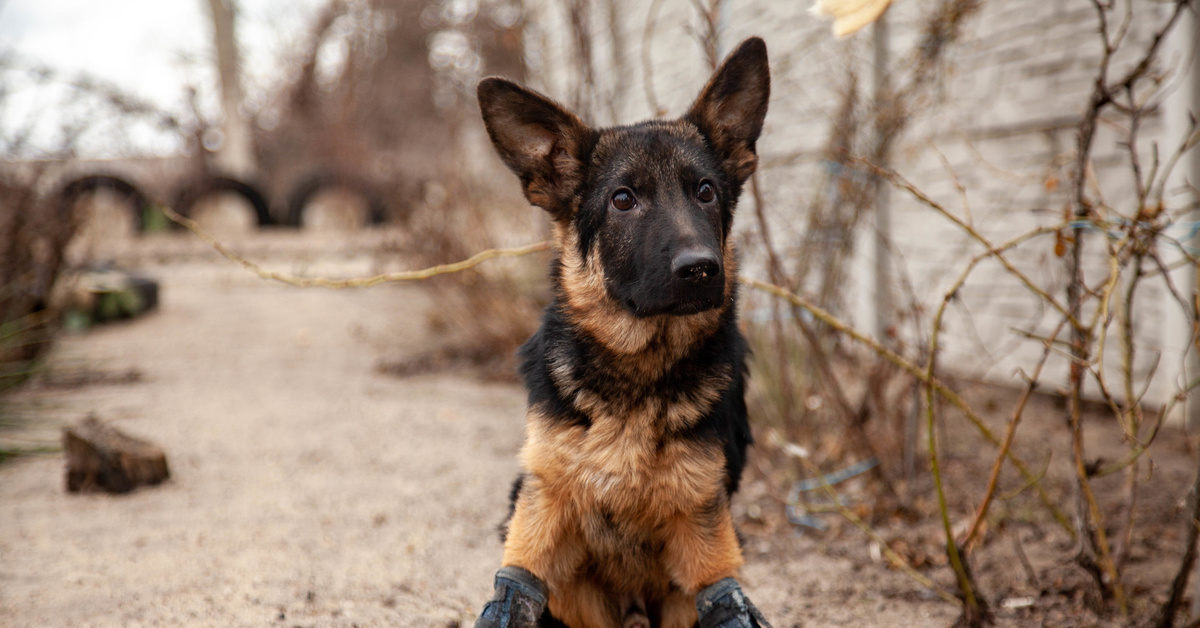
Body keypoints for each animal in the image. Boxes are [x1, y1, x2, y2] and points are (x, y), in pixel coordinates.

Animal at [472, 38, 772, 628]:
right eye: (623, 199)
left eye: (705, 191)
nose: (701, 269)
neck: (639, 369)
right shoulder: (542, 512)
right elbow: (515, 587)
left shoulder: (705, 540)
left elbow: (725, 595)